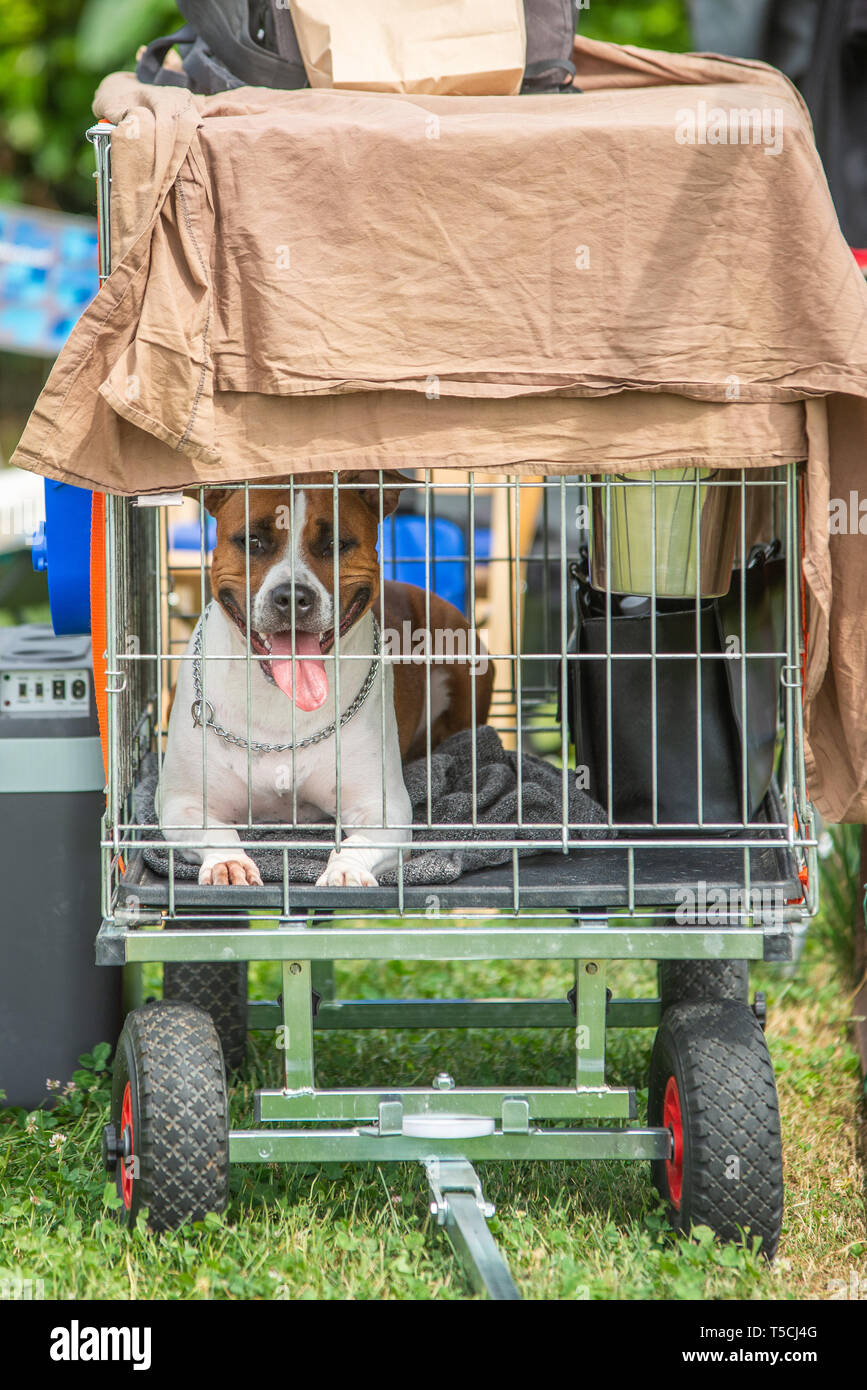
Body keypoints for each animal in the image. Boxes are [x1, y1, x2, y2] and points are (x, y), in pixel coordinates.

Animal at [158, 478, 491, 884]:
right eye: (252, 541)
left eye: (335, 544)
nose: (292, 596)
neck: (279, 701)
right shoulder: (181, 804)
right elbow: (216, 831)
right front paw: (227, 861)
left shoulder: (383, 807)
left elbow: (359, 842)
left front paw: (345, 871)